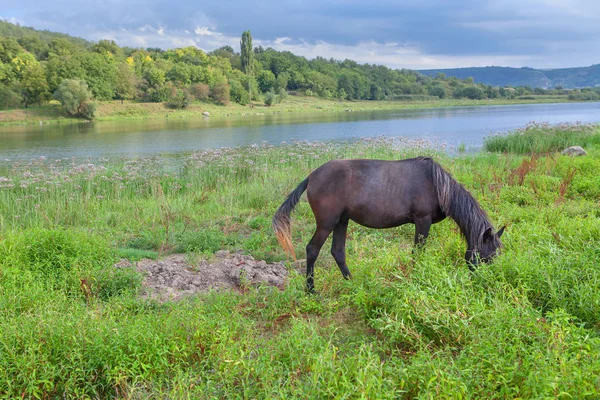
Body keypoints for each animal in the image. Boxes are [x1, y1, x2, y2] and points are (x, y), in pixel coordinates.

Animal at [274, 155, 504, 290]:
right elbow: (418, 252)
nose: (487, 284)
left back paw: (352, 284)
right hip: (327, 223)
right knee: (312, 249)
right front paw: (416, 277)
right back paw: (311, 289)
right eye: (487, 257)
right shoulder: (423, 221)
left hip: (341, 221)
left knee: (337, 251)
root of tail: (311, 177)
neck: (438, 185)